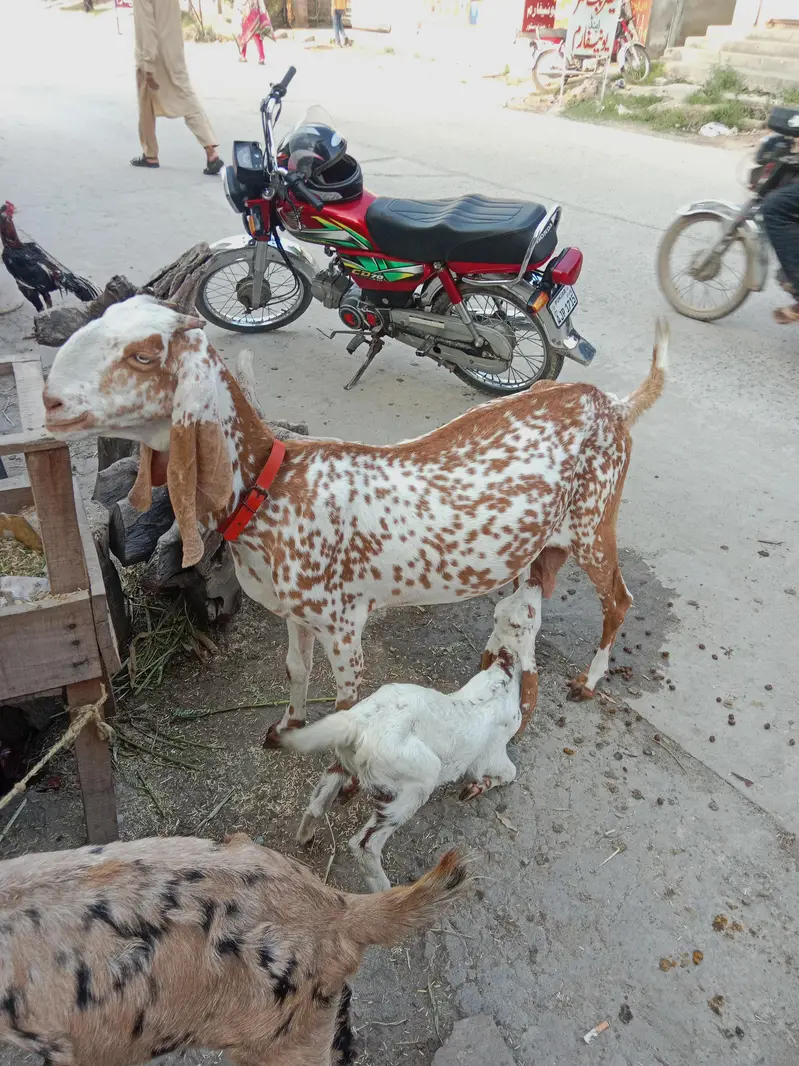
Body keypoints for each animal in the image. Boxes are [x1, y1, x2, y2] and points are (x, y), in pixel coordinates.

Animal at [42, 296, 668, 732]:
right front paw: (286, 727)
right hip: (544, 542)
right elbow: (294, 670)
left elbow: (346, 706)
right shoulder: (296, 614)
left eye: (144, 354)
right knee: (531, 597)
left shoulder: (344, 624)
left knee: (619, 598)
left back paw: (588, 680)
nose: (51, 402)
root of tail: (613, 404)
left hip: (593, 522)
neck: (271, 486)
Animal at [267, 583, 542, 892]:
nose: (532, 585)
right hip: (418, 780)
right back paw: (387, 891)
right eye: (530, 614)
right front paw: (476, 788)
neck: (502, 675)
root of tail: (355, 725)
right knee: (364, 844)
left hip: (344, 760)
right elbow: (508, 772)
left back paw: (306, 836)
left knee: (317, 804)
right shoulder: (490, 755)